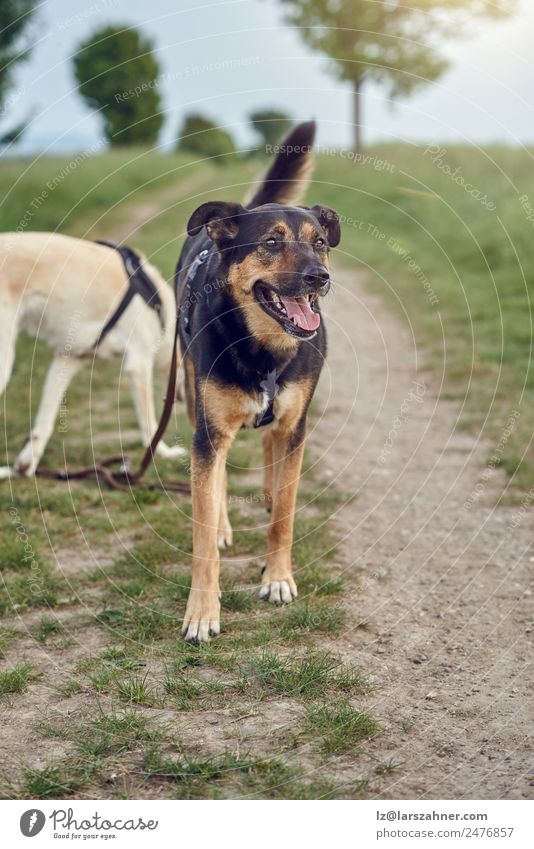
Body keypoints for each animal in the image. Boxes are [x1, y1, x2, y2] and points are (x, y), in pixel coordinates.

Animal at [0, 232, 186, 476]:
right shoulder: (139, 364)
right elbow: (150, 426)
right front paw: (163, 454)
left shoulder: (66, 361)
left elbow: (44, 420)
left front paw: (26, 465)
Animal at [177, 122, 344, 644]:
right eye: (271, 243)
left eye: (319, 242)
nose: (320, 276)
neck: (263, 347)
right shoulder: (209, 434)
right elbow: (202, 531)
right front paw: (202, 612)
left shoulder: (297, 424)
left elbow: (285, 516)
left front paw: (278, 578)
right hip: (192, 398)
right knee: (217, 479)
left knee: (273, 455)